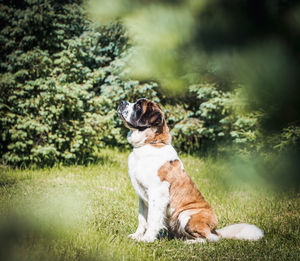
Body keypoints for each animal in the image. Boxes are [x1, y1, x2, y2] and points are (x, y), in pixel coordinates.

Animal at [117, 97, 262, 242]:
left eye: (138, 106)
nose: (122, 102)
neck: (150, 144)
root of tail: (215, 230)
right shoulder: (141, 197)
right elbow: (142, 219)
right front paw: (136, 236)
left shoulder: (157, 193)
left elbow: (152, 219)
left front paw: (146, 239)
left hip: (186, 215)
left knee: (209, 238)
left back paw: (189, 243)